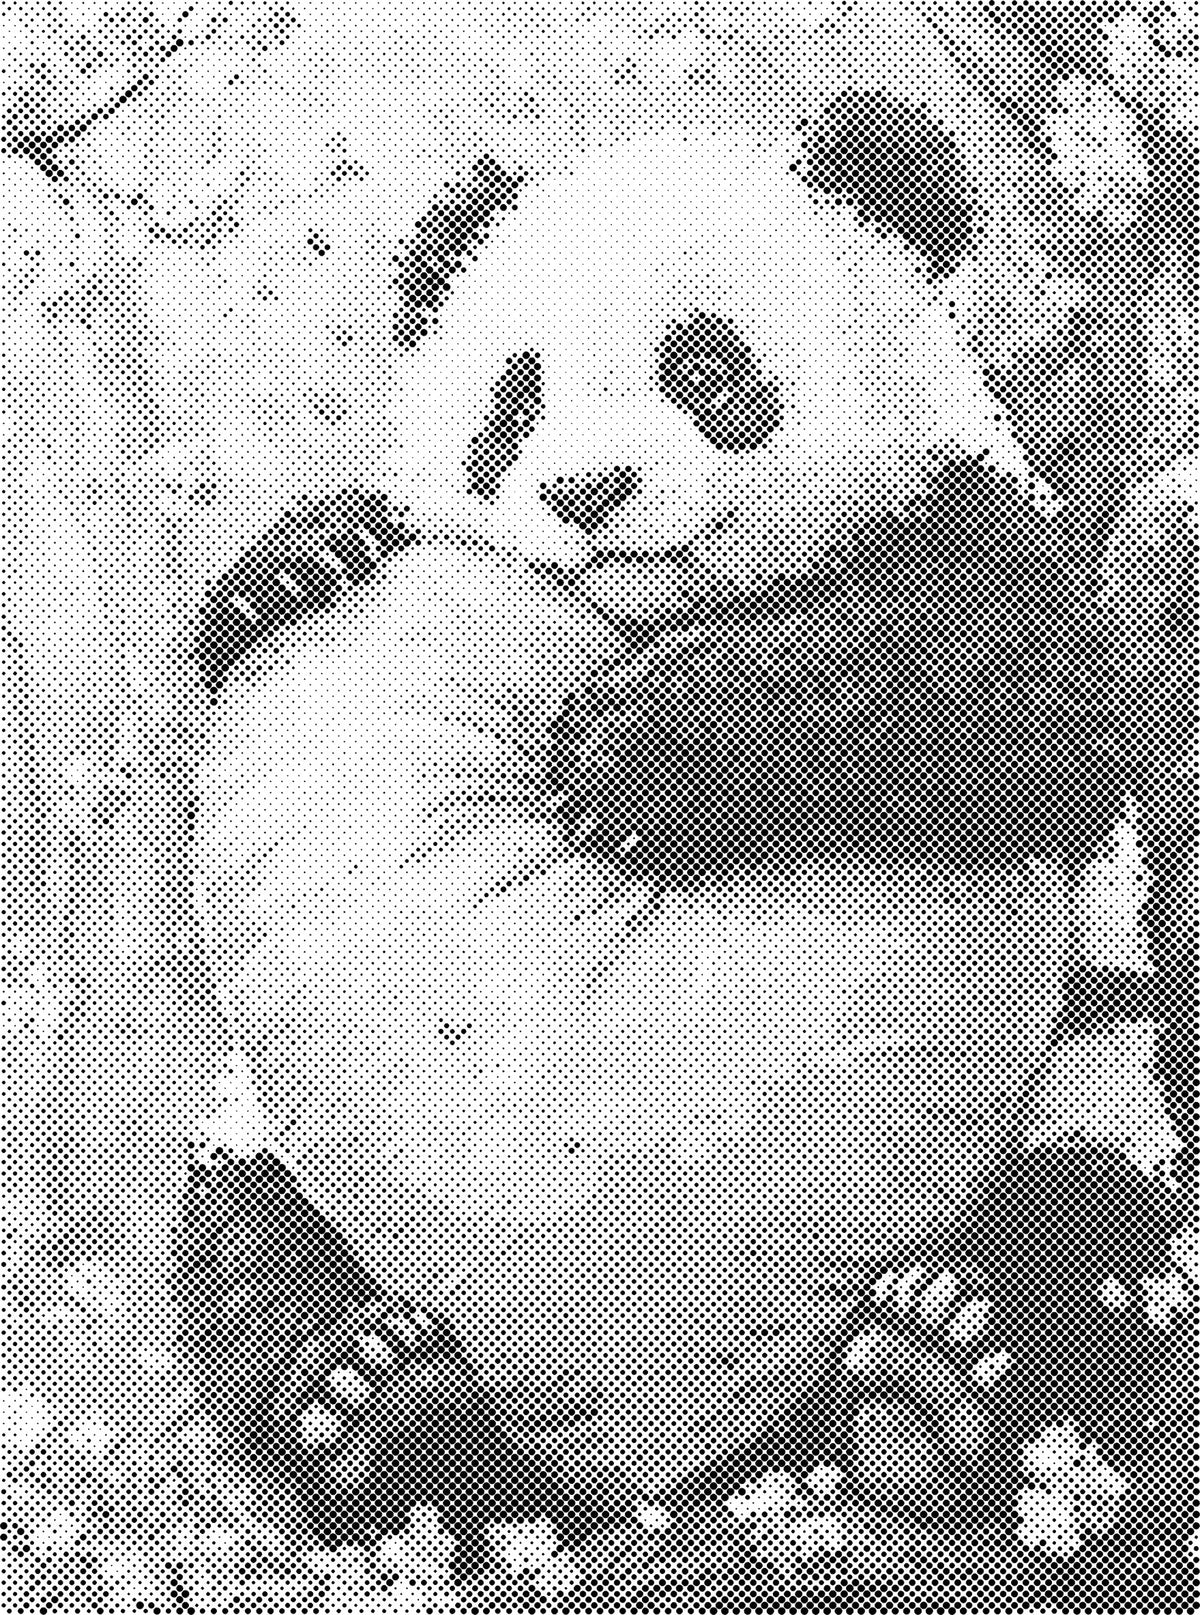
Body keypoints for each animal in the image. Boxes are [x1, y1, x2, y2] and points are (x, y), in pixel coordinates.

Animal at [180, 0, 1189, 1577]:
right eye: (513, 401)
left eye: (706, 371)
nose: (584, 493)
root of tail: (676, 1474)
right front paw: (304, 553)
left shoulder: (984, 513)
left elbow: (1025, 691)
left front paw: (632, 749)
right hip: (277, 1144)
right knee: (245, 1243)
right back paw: (371, 1398)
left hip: (1088, 1076)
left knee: (1096, 1224)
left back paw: (938, 1365)